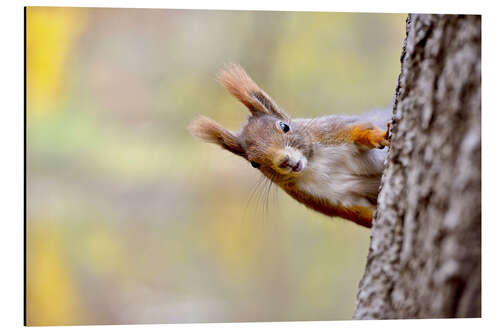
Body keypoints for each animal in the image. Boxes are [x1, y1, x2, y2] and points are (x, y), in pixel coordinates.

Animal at [189, 63, 392, 227]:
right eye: (254, 163)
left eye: (284, 126)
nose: (284, 161)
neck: (314, 165)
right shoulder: (325, 200)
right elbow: (358, 214)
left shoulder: (331, 132)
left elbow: (359, 129)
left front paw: (379, 136)